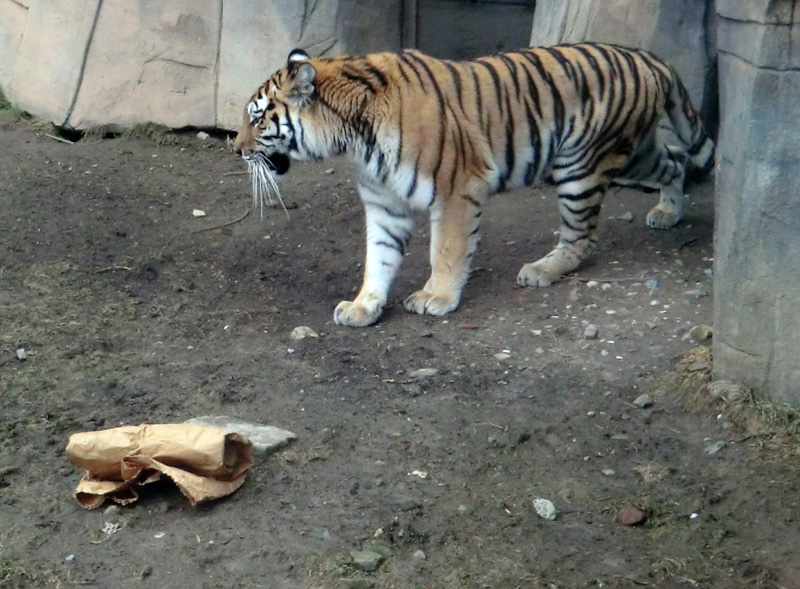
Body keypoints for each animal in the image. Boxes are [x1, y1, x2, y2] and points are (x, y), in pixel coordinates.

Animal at [234, 43, 716, 328]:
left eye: (257, 118)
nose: (235, 149)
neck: (353, 136)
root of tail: (648, 56)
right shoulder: (385, 203)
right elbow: (379, 259)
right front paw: (364, 306)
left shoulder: (455, 190)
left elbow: (445, 251)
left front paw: (437, 298)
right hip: (634, 152)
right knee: (675, 160)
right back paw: (668, 213)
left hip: (580, 166)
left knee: (581, 239)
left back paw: (542, 270)